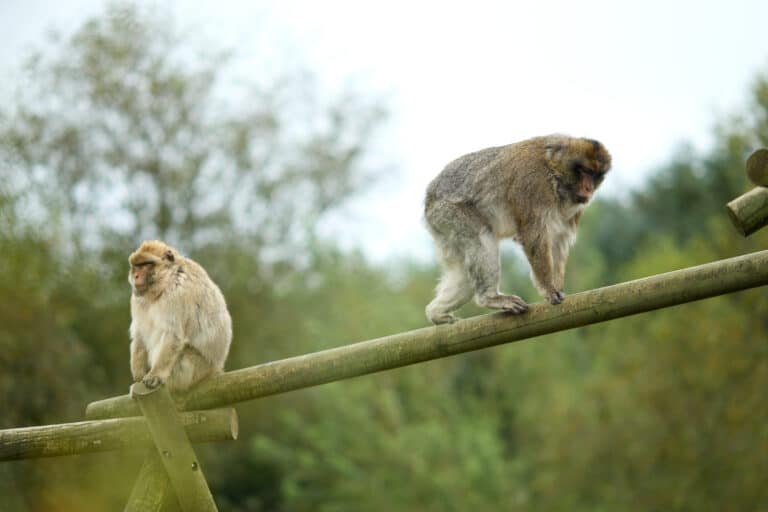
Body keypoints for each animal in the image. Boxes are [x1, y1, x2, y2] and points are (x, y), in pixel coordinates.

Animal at [128, 240, 233, 392]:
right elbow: (139, 335)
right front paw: (138, 376)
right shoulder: (137, 299)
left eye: (146, 264)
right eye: (136, 266)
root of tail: (215, 369)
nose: (136, 276)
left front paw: (155, 375)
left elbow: (173, 335)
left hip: (195, 368)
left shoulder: (176, 293)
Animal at [424, 134, 611, 325]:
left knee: (464, 275)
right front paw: (548, 288)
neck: (553, 173)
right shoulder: (533, 184)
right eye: (584, 172)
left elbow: (558, 240)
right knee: (482, 236)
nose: (589, 188)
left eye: (595, 175)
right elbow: (533, 236)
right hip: (448, 213)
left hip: (442, 225)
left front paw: (556, 286)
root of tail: (429, 199)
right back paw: (489, 298)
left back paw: (436, 312)